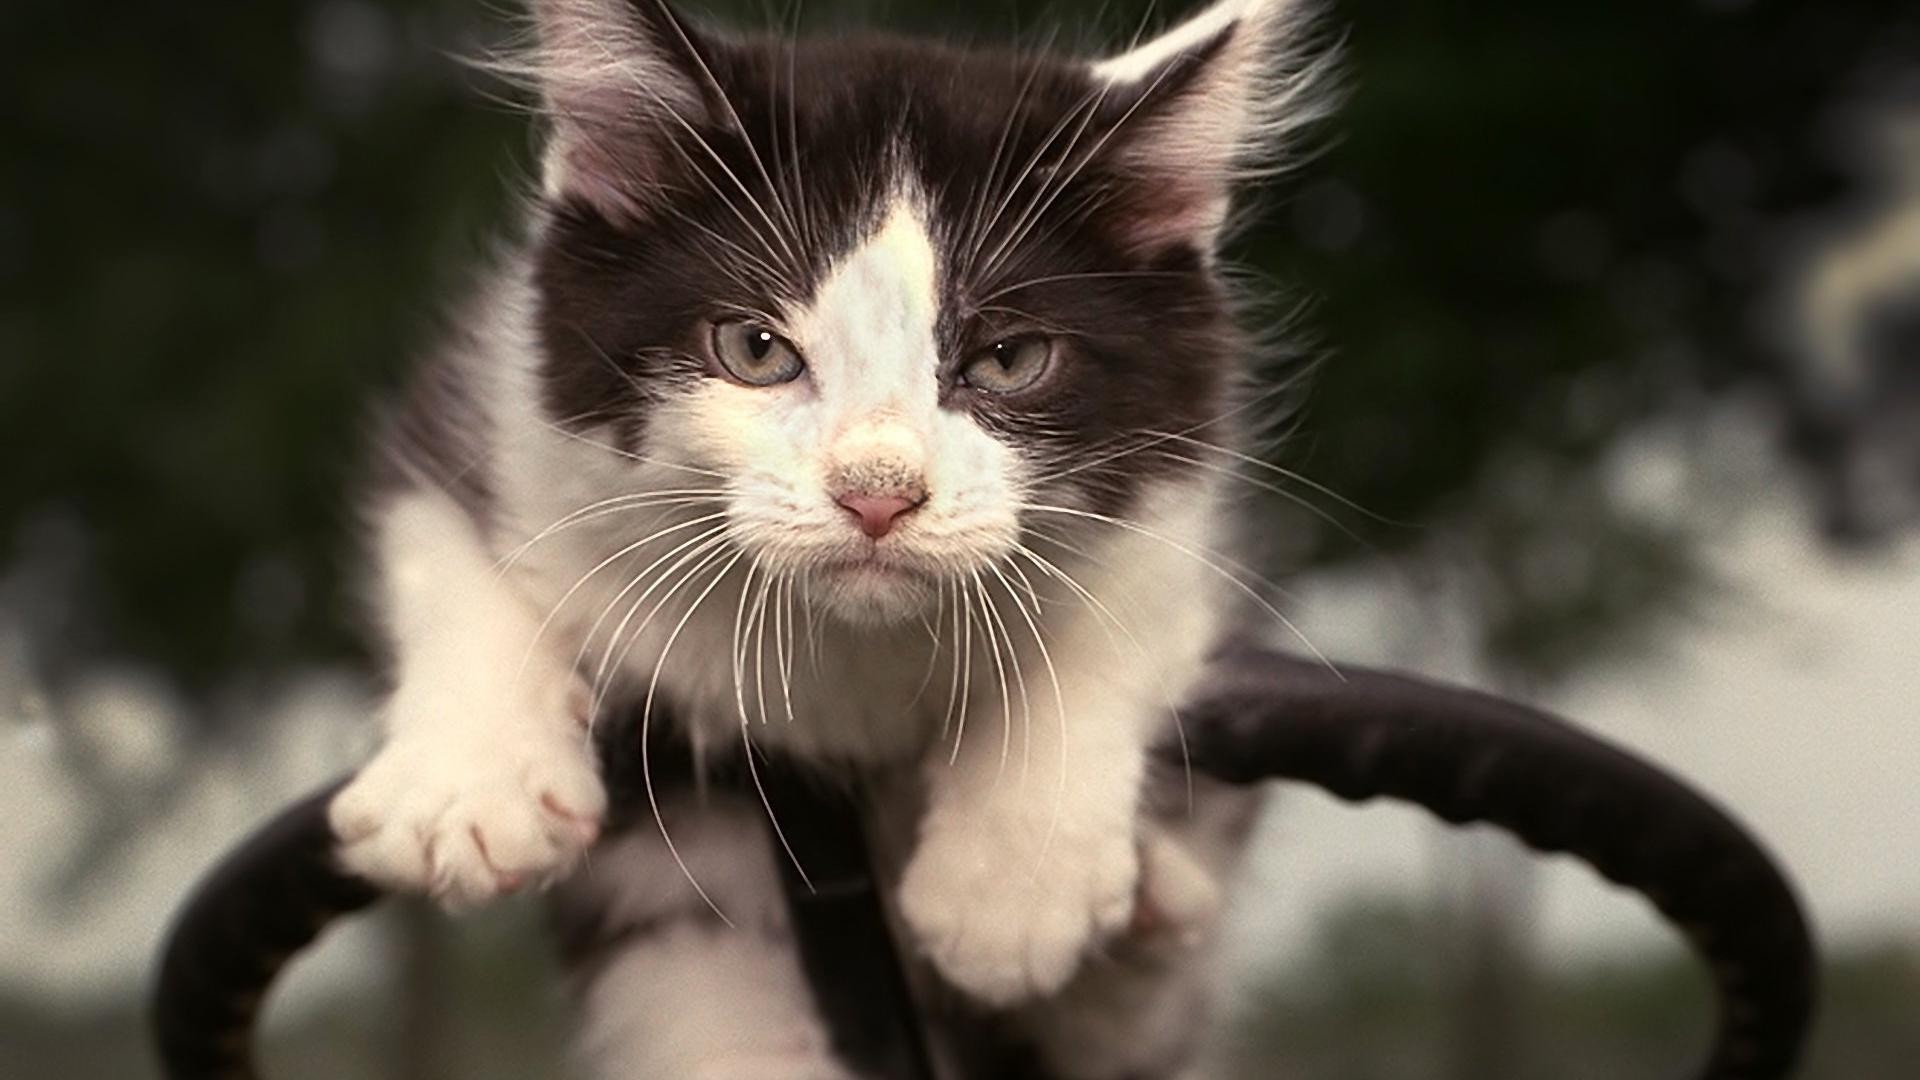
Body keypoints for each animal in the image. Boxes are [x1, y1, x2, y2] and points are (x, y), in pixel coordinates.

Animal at [330, 0, 1328, 1068]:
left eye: (1009, 360)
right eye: (756, 348)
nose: (878, 494)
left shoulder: (1184, 491)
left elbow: (1130, 601)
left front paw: (1011, 881)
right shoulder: (499, 392)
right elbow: (440, 532)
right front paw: (463, 788)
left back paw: (1140, 930)